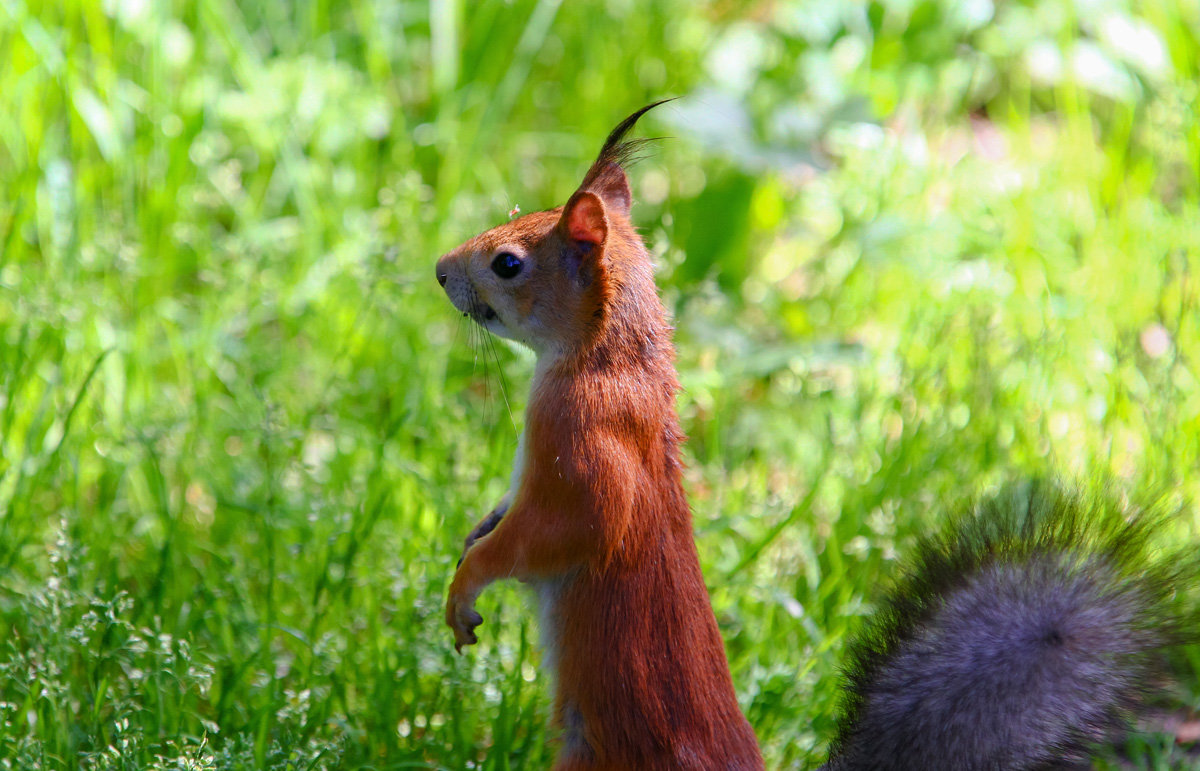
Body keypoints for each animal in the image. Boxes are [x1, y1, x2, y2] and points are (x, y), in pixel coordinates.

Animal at [434, 103, 1190, 768]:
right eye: (514, 218)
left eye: (508, 262)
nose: (441, 269)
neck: (606, 362)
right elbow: (504, 516)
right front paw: (474, 534)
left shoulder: (585, 455)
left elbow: (548, 535)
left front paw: (465, 585)